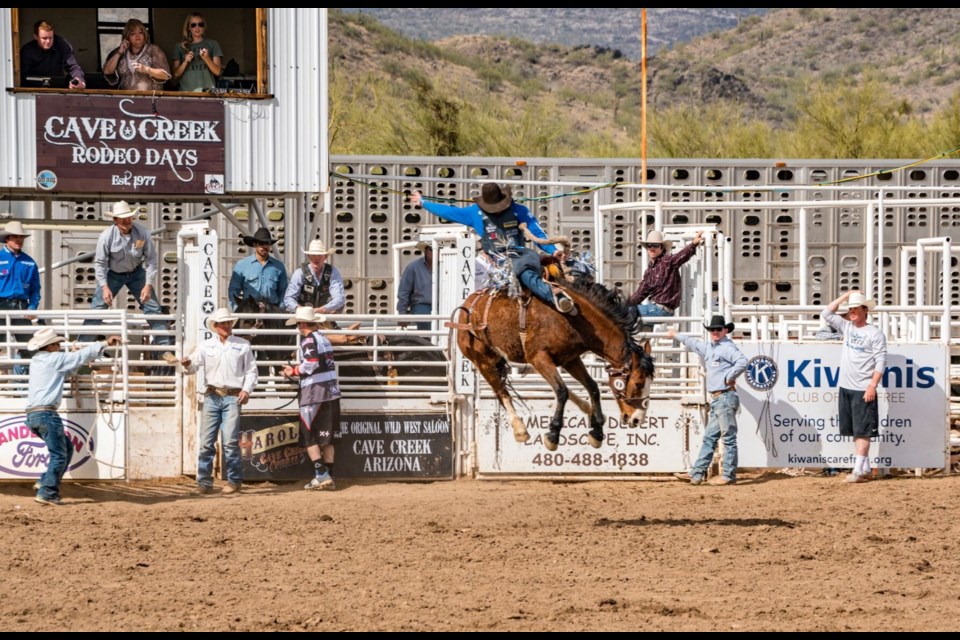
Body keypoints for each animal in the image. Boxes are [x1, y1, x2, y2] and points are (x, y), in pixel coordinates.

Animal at [454, 278, 656, 450]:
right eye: (639, 383)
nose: (637, 420)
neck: (574, 318)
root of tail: (467, 306)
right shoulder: (539, 358)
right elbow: (561, 391)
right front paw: (553, 435)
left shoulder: (569, 359)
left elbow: (592, 387)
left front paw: (597, 432)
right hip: (482, 361)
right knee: (502, 392)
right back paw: (520, 429)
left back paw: (586, 407)